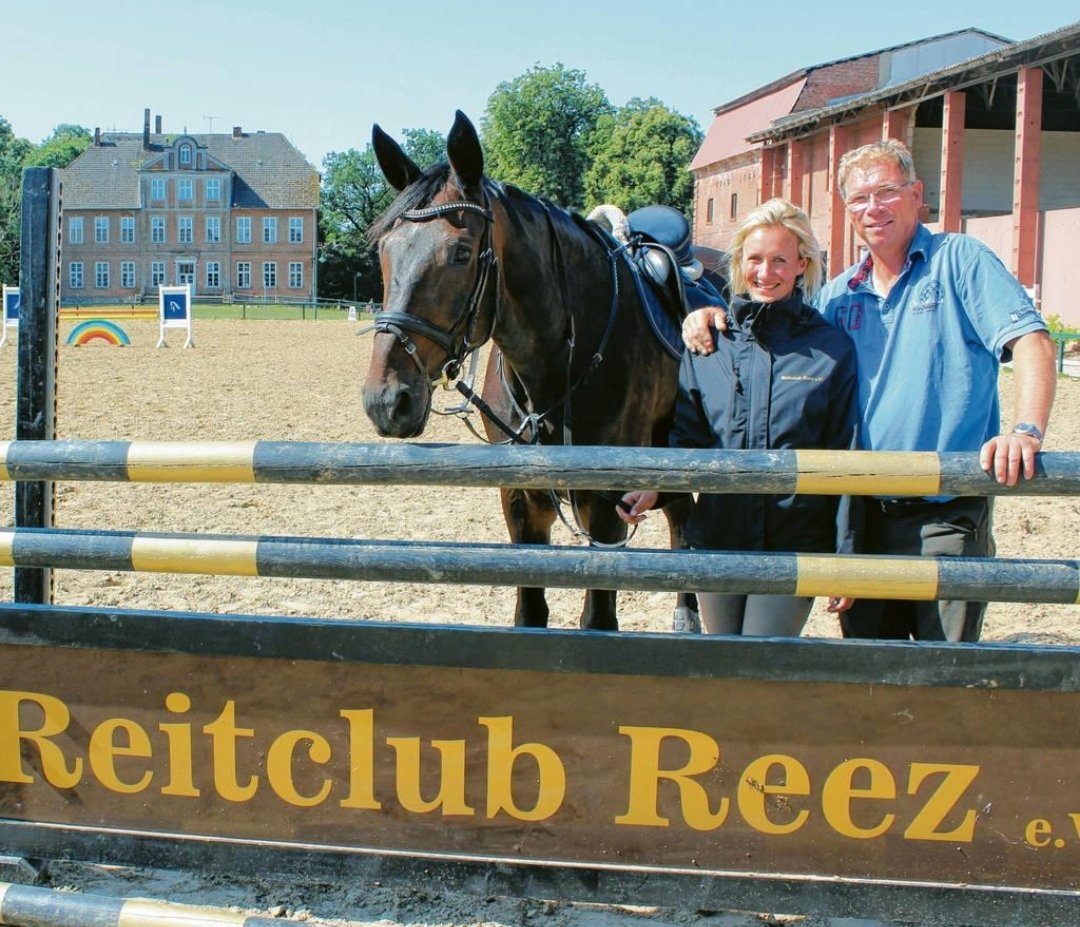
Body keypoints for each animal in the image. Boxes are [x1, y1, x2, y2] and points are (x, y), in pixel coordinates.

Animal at [361, 110, 703, 632]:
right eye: (384, 250)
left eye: (462, 252)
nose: (386, 399)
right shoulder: (520, 498)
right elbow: (531, 612)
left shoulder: (606, 501)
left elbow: (599, 618)